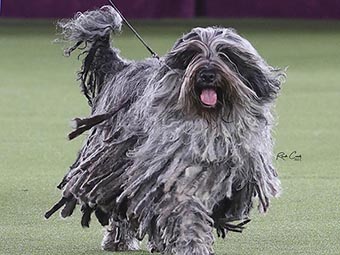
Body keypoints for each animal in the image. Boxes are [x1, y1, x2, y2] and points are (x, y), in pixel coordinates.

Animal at [45, 5, 284, 255]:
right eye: (193, 54)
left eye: (226, 54)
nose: (207, 73)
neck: (210, 121)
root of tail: (121, 67)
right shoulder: (174, 173)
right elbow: (187, 211)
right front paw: (192, 245)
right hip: (112, 163)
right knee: (121, 203)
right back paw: (120, 240)